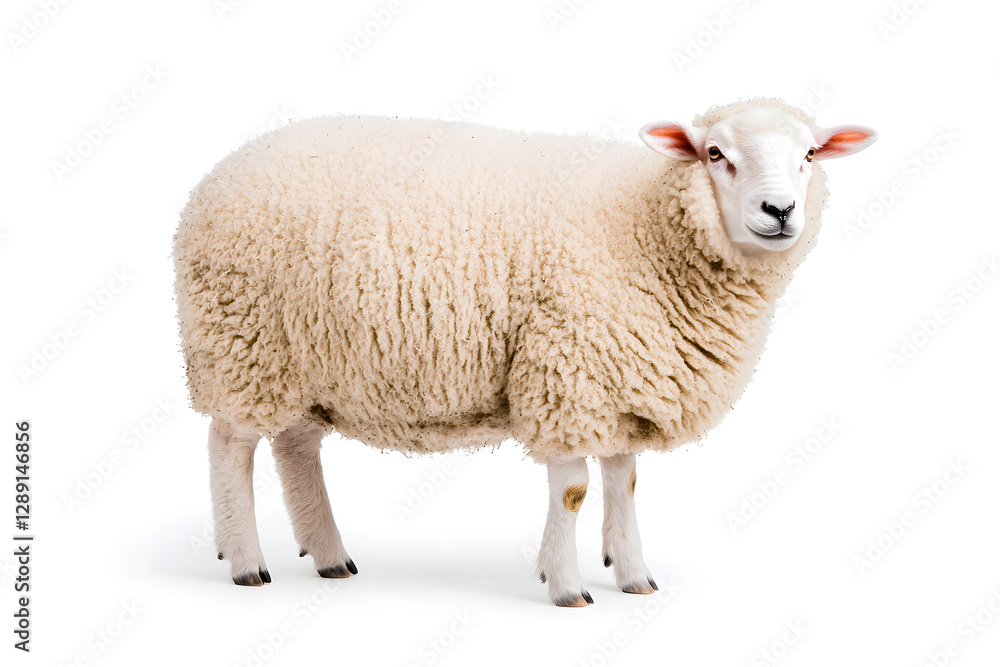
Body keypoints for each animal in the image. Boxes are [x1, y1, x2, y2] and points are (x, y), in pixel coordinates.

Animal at [173, 98, 876, 605]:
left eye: (809, 153)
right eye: (714, 153)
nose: (779, 210)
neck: (647, 228)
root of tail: (216, 175)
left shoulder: (618, 378)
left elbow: (625, 479)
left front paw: (633, 575)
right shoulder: (567, 369)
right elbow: (573, 489)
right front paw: (567, 586)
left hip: (307, 358)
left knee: (295, 447)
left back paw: (329, 557)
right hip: (241, 343)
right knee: (229, 446)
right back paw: (246, 562)